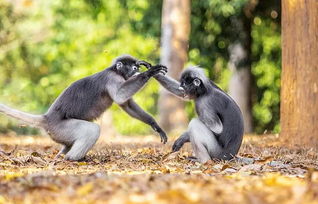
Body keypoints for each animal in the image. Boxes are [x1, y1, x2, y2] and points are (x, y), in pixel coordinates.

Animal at [0, 55, 168, 160]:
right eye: (133, 68)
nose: (137, 71)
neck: (114, 70)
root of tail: (47, 118)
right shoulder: (112, 78)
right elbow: (121, 96)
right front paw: (150, 72)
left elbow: (126, 104)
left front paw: (155, 125)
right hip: (60, 128)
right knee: (92, 130)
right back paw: (72, 159)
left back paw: (62, 155)